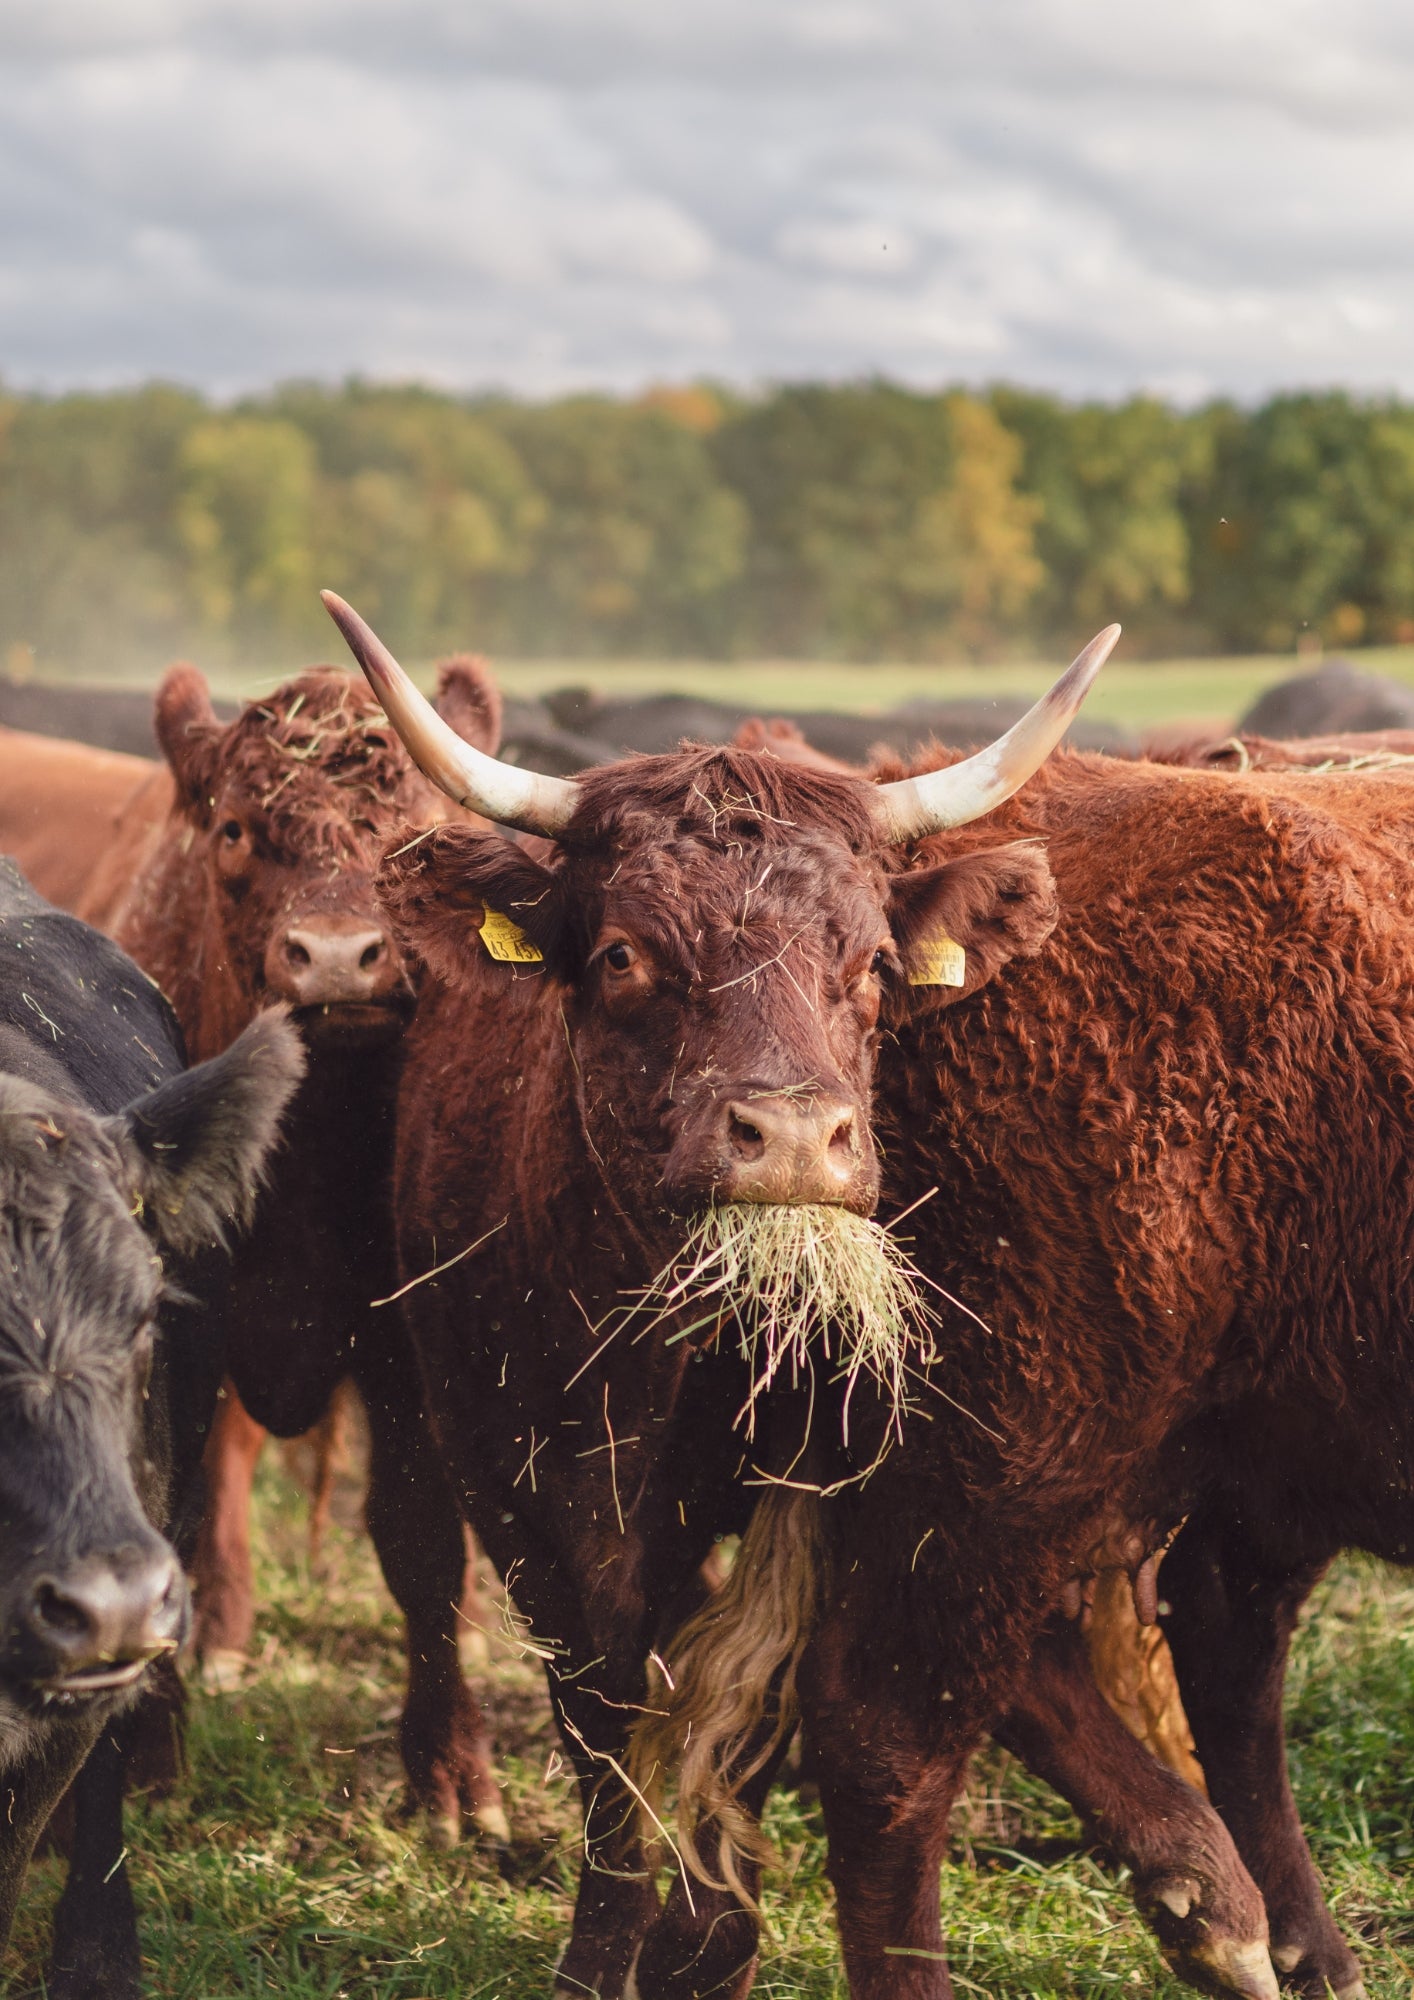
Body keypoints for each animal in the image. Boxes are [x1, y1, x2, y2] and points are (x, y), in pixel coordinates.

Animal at [326, 600, 1280, 2000]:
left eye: (873, 959)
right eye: (625, 953)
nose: (787, 1138)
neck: (650, 1359)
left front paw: (702, 1929)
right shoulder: (517, 1490)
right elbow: (609, 1726)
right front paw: (619, 1946)